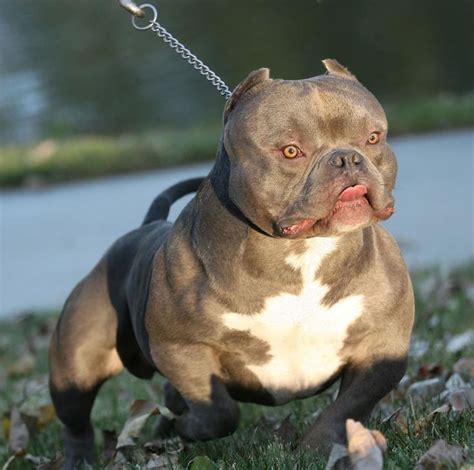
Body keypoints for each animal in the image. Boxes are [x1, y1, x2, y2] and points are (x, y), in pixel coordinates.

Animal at [49, 58, 414, 466]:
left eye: (373, 138)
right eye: (291, 151)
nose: (347, 158)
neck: (303, 253)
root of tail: (146, 227)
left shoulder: (383, 347)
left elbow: (348, 406)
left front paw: (316, 447)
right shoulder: (181, 347)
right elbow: (219, 411)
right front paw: (191, 428)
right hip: (74, 365)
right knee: (77, 421)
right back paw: (82, 458)